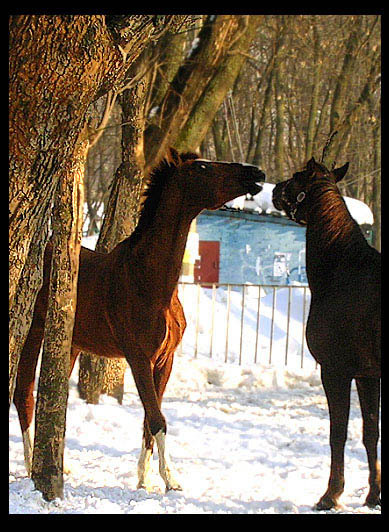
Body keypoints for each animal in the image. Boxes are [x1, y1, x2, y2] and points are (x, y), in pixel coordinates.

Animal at [14, 148, 264, 492]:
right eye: (202, 167)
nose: (256, 174)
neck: (148, 282)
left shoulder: (164, 360)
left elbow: (150, 416)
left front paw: (144, 479)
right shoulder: (138, 358)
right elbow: (157, 418)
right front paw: (171, 480)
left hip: (70, 344)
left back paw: (58, 466)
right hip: (33, 332)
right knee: (23, 394)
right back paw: (30, 467)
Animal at [272, 158, 378, 512]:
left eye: (295, 177)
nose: (274, 190)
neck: (343, 272)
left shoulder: (335, 371)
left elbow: (338, 433)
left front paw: (330, 495)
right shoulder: (368, 375)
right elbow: (370, 431)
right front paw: (374, 495)